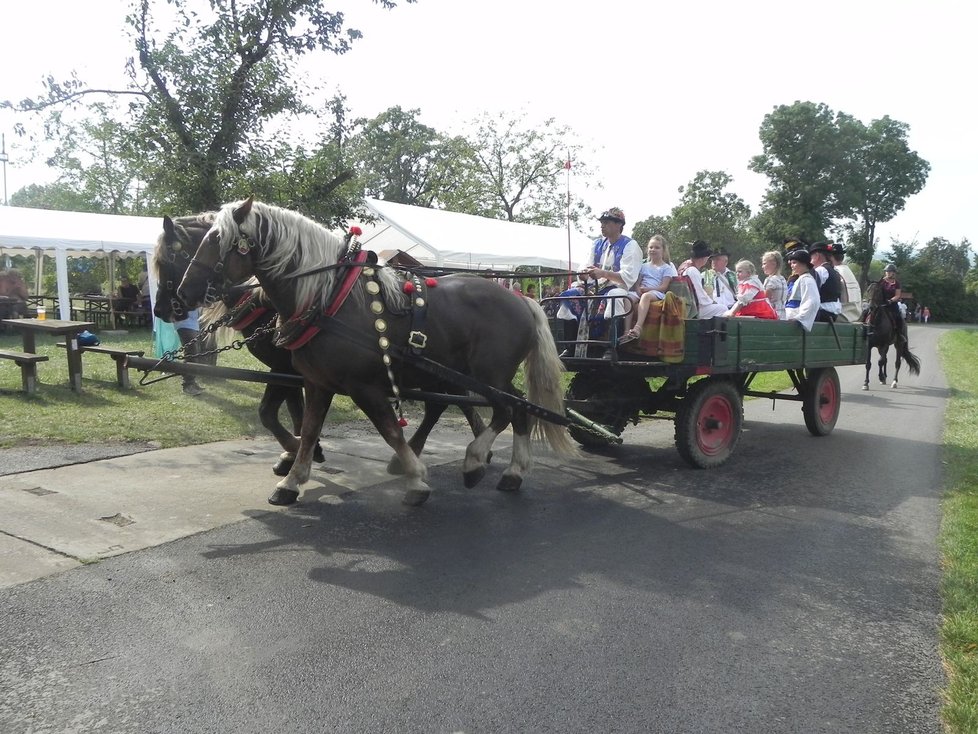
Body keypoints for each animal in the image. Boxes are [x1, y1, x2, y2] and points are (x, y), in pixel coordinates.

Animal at [177, 198, 572, 508]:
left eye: (217, 240)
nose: (184, 292)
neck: (327, 297)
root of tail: (522, 299)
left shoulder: (363, 386)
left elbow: (389, 430)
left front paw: (416, 479)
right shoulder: (317, 383)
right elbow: (309, 430)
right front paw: (292, 481)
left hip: (487, 375)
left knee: (508, 410)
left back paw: (477, 461)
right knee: (514, 409)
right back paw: (512, 473)